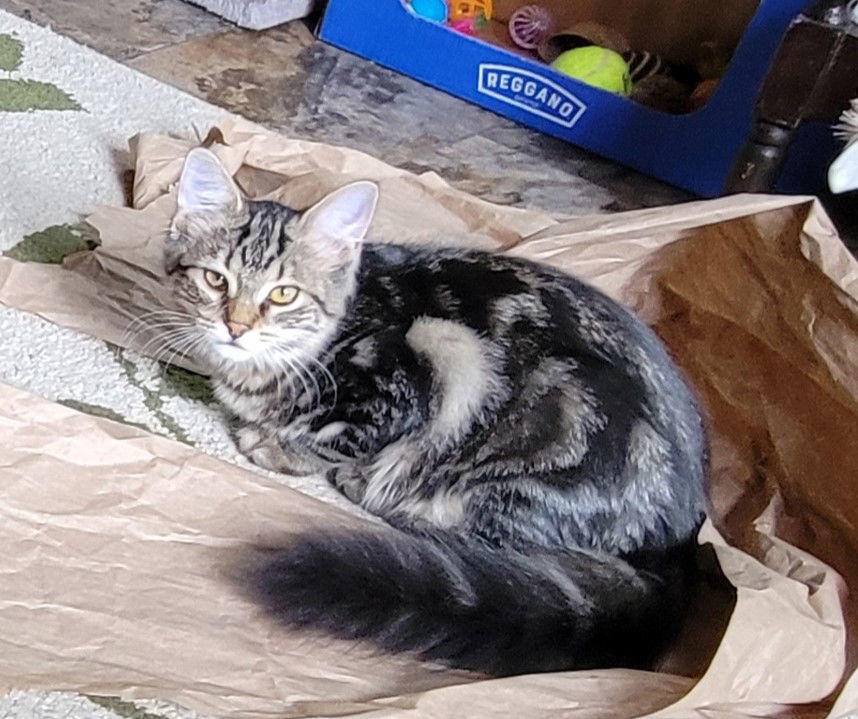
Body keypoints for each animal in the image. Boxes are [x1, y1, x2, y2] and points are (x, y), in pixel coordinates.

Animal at [162, 149, 708, 676]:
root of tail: (684, 537)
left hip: (529, 437)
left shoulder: (411, 374)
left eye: (282, 294)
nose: (236, 328)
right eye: (215, 280)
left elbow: (336, 438)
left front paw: (281, 446)